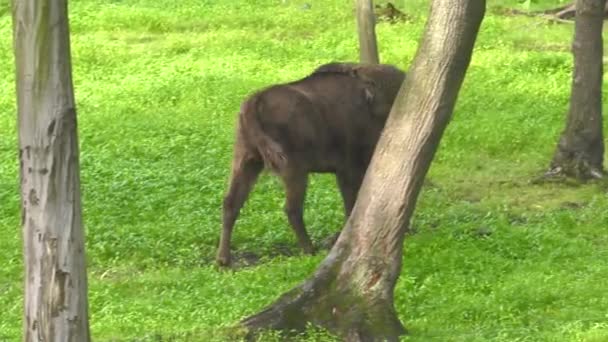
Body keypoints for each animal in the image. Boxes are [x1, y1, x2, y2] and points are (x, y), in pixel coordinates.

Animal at [216, 62, 406, 266]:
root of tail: (254, 102)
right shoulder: (348, 169)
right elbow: (351, 202)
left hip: (246, 161)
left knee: (231, 203)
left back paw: (223, 259)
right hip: (293, 170)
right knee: (292, 208)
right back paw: (309, 249)